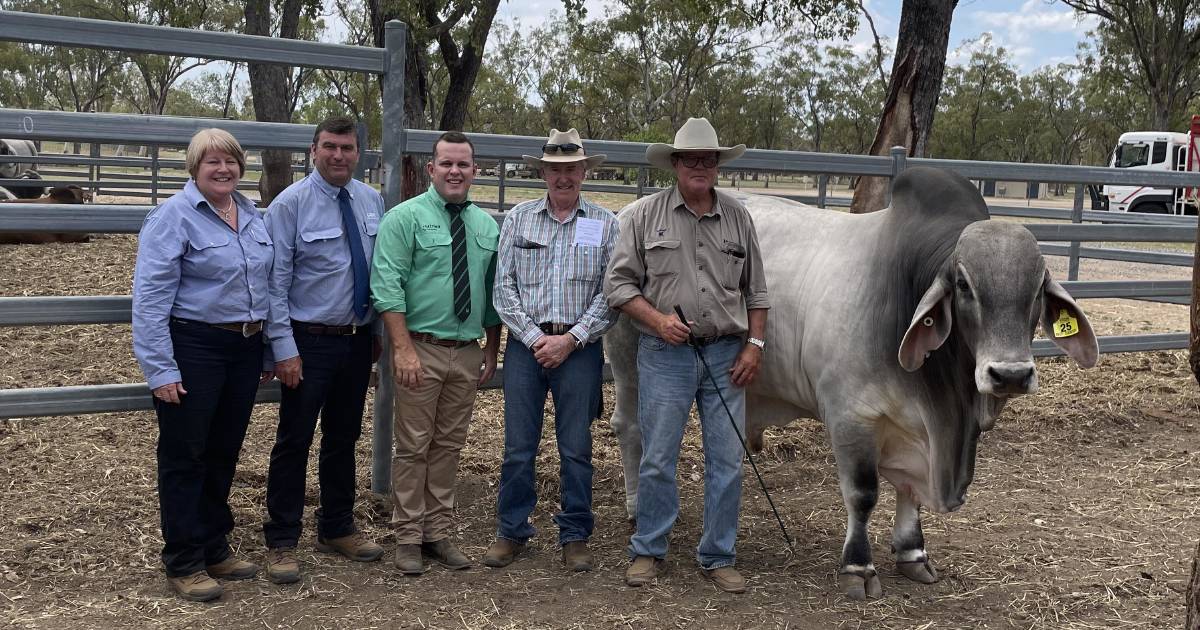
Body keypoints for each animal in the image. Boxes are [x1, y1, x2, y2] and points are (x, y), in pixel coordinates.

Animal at [609, 166, 1099, 600]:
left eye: (1037, 288)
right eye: (963, 284)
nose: (1010, 374)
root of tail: (627, 212)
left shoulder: (913, 431)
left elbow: (908, 491)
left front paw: (913, 553)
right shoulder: (850, 416)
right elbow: (864, 494)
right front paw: (858, 568)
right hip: (631, 367)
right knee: (633, 431)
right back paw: (637, 510)